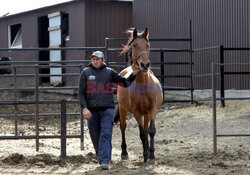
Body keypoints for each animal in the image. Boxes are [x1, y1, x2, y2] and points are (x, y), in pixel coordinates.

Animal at [114, 27, 163, 163]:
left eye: (147, 45)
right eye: (134, 45)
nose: (144, 64)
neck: (143, 86)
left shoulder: (152, 110)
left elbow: (151, 131)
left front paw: (151, 153)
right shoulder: (136, 113)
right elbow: (142, 134)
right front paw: (145, 155)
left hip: (146, 114)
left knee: (146, 129)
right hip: (123, 109)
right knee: (123, 127)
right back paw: (124, 152)